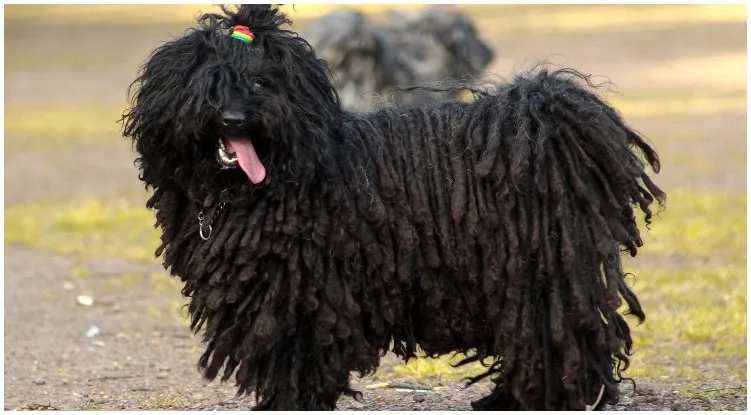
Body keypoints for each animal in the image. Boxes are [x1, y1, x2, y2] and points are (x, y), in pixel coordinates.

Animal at [122, 4, 664, 412]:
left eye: (262, 84)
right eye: (212, 83)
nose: (236, 118)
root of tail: (545, 117)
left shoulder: (298, 294)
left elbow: (294, 361)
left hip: (543, 270)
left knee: (557, 341)